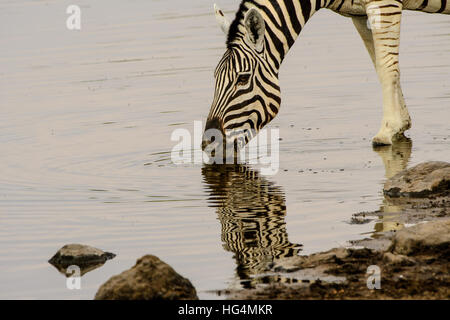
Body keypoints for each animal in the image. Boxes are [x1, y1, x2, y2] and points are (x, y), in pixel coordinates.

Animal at [201, 0, 450, 154]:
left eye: (242, 79)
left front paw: (387, 130)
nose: (207, 143)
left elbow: (387, 66)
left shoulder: (385, 4)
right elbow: (379, 64)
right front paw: (401, 123)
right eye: (214, 77)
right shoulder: (359, 13)